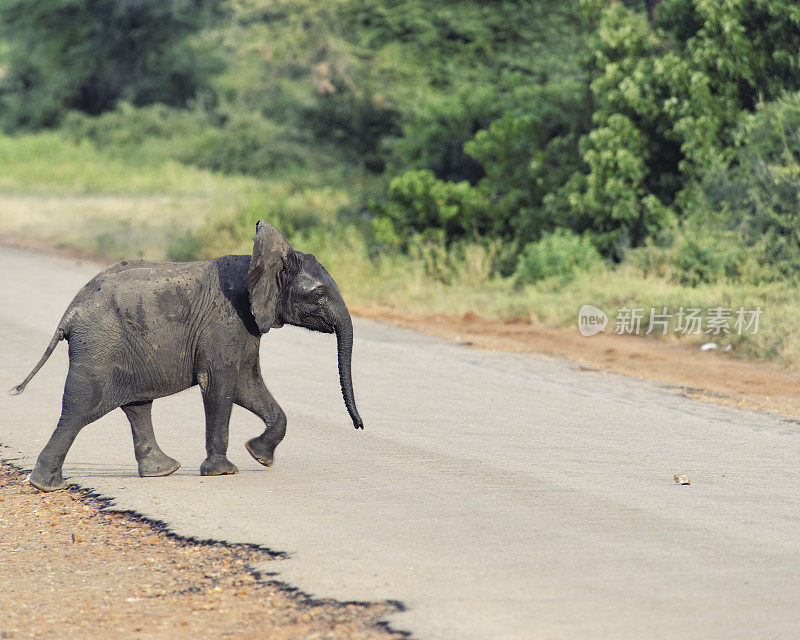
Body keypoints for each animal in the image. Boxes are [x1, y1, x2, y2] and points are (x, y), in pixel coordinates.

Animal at [11, 220, 362, 490]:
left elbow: (247, 386)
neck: (259, 263)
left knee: (137, 406)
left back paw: (162, 471)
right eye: (318, 295)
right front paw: (223, 472)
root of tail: (69, 314)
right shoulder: (225, 322)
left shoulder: (244, 326)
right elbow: (220, 385)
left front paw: (258, 455)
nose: (359, 427)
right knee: (79, 409)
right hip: (98, 345)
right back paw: (47, 485)